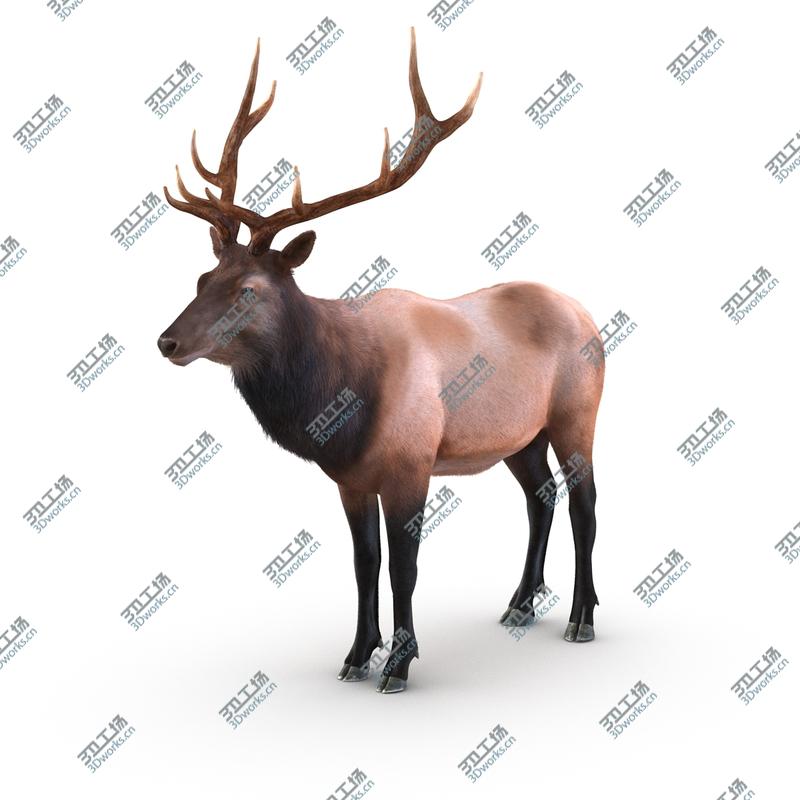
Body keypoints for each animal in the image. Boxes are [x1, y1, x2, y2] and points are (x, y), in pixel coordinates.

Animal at [157, 28, 605, 693]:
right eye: (202, 277)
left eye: (248, 290)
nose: (167, 342)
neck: (339, 404)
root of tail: (590, 316)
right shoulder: (349, 478)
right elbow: (364, 563)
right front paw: (356, 654)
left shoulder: (411, 464)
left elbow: (403, 568)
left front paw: (398, 663)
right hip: (520, 435)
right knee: (541, 496)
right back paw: (521, 604)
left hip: (577, 412)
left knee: (584, 502)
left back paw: (581, 617)